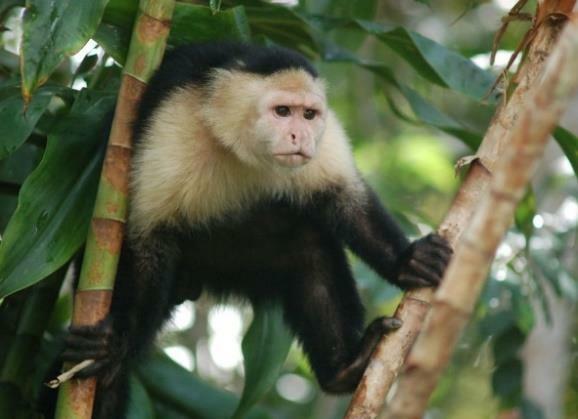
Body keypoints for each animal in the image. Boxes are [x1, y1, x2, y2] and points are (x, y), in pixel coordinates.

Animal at [62, 41, 450, 416]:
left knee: (308, 247)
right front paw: (117, 346)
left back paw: (344, 368)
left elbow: (346, 199)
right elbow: (147, 236)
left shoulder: (325, 138)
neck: (237, 144)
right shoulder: (172, 122)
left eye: (308, 115)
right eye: (282, 112)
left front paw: (408, 261)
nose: (299, 135)